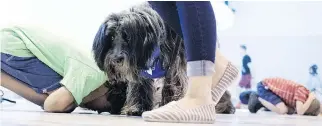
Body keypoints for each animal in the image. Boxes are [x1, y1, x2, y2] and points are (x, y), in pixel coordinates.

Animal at [90, 3, 234, 116]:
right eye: (111, 37)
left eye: (128, 37)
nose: (116, 59)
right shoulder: (141, 66)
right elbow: (140, 85)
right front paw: (137, 107)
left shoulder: (175, 64)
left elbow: (173, 84)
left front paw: (168, 103)